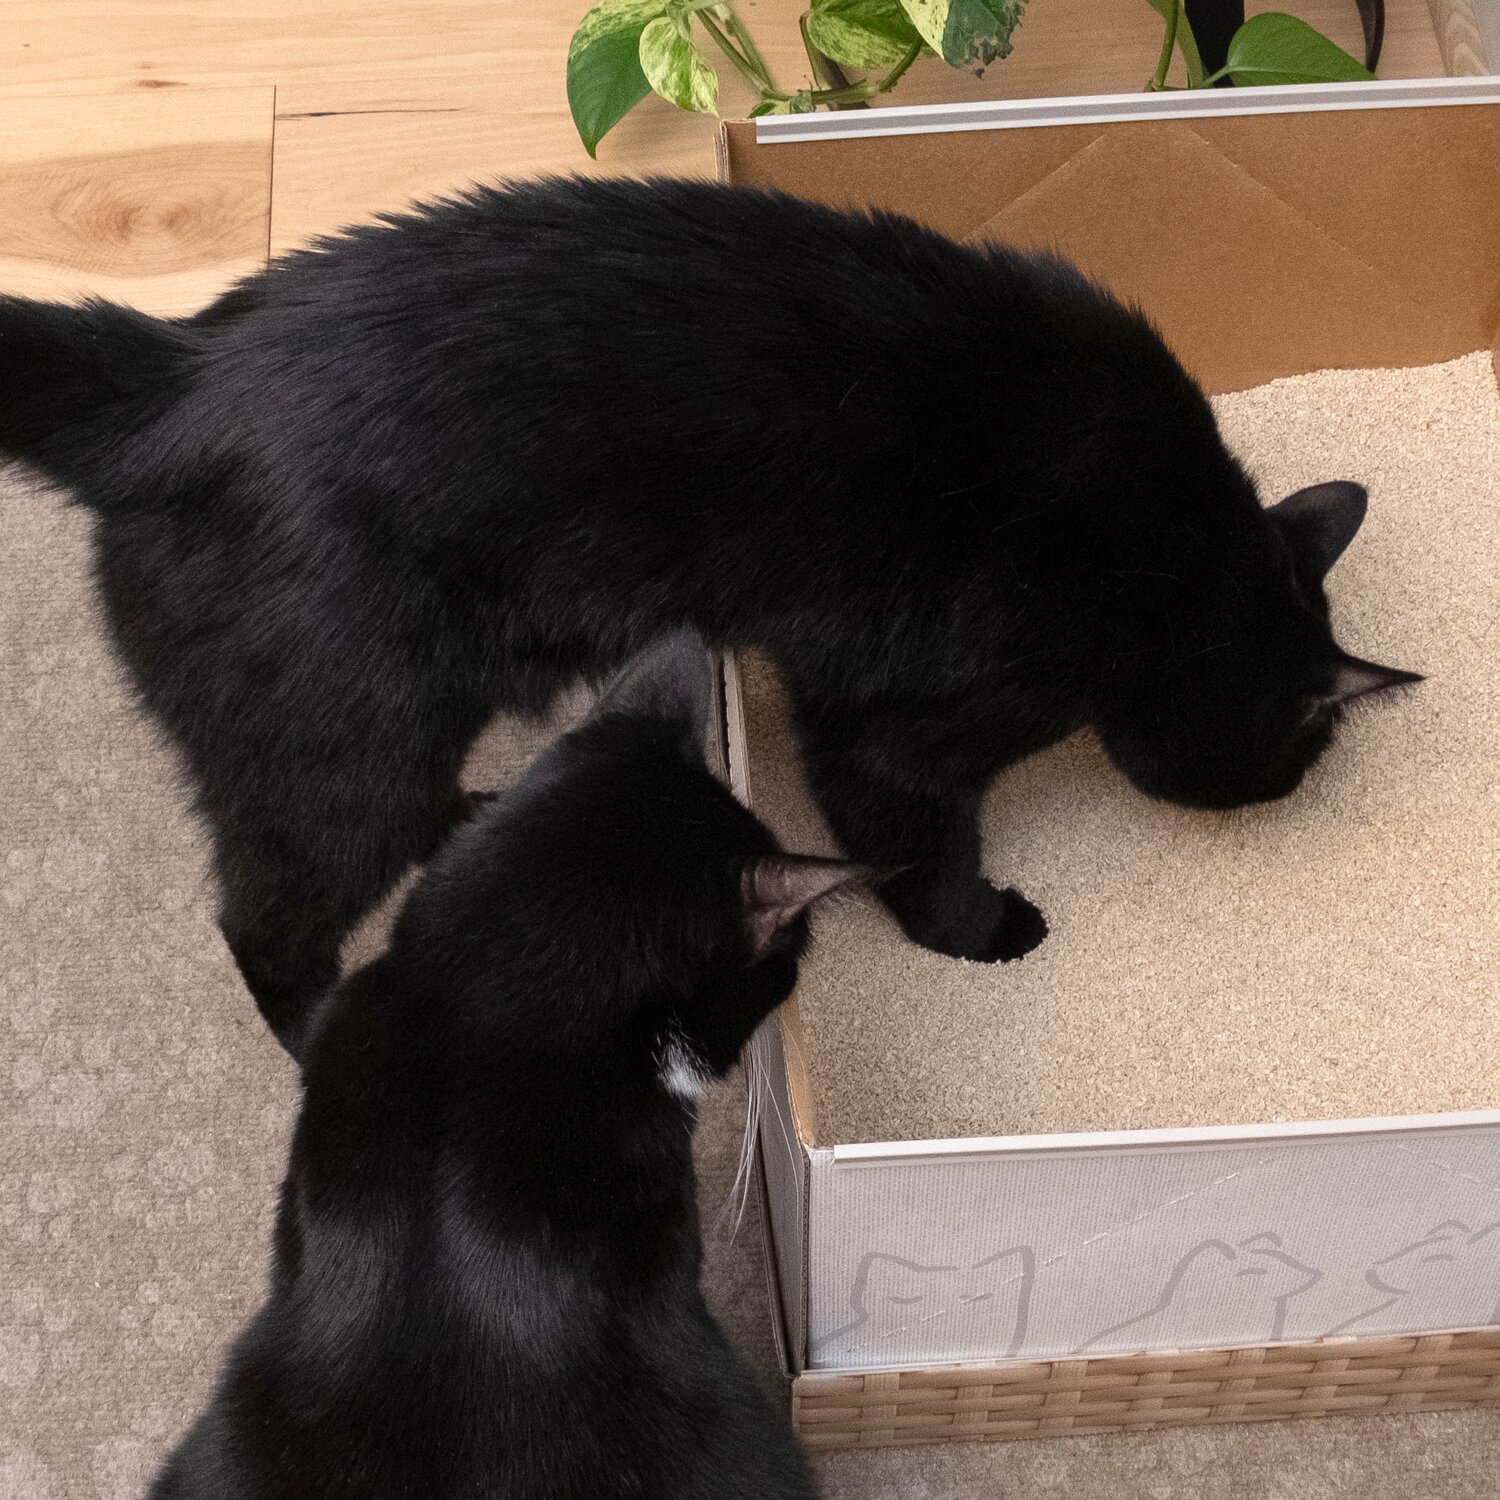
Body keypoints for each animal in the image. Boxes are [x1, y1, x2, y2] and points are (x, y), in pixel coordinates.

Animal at [0, 175, 1410, 1050]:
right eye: (1299, 748)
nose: (1279, 793)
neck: (1182, 555)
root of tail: (175, 371)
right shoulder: (898, 726)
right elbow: (920, 849)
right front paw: (983, 936)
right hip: (339, 752)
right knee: (268, 924)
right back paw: (317, 1030)